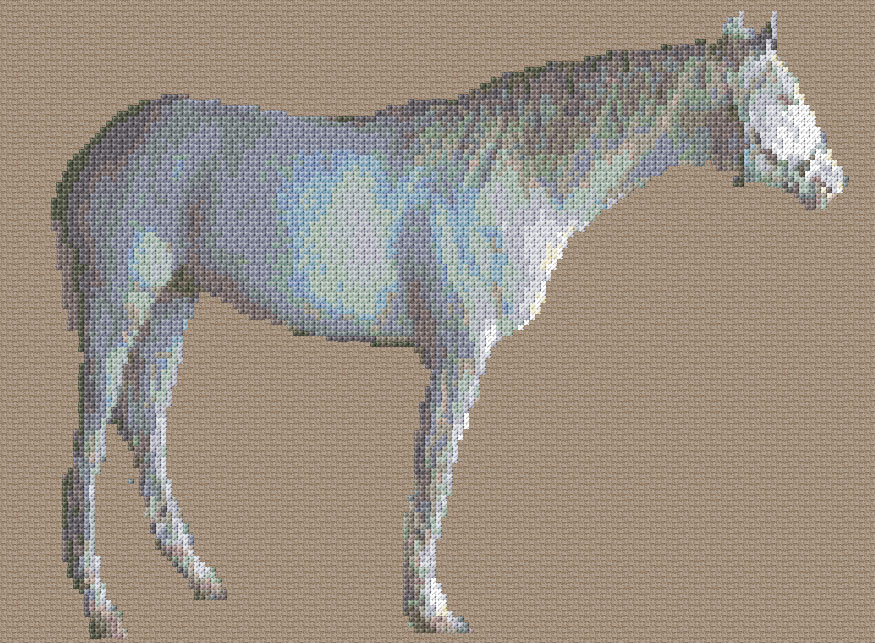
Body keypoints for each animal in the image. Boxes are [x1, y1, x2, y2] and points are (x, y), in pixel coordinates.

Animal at [53, 11, 847, 637]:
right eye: (783, 92)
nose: (831, 180)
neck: (514, 172)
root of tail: (93, 154)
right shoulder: (460, 356)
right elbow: (435, 474)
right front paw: (429, 608)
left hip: (173, 305)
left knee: (146, 426)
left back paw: (199, 576)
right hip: (117, 311)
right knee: (88, 450)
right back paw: (102, 608)